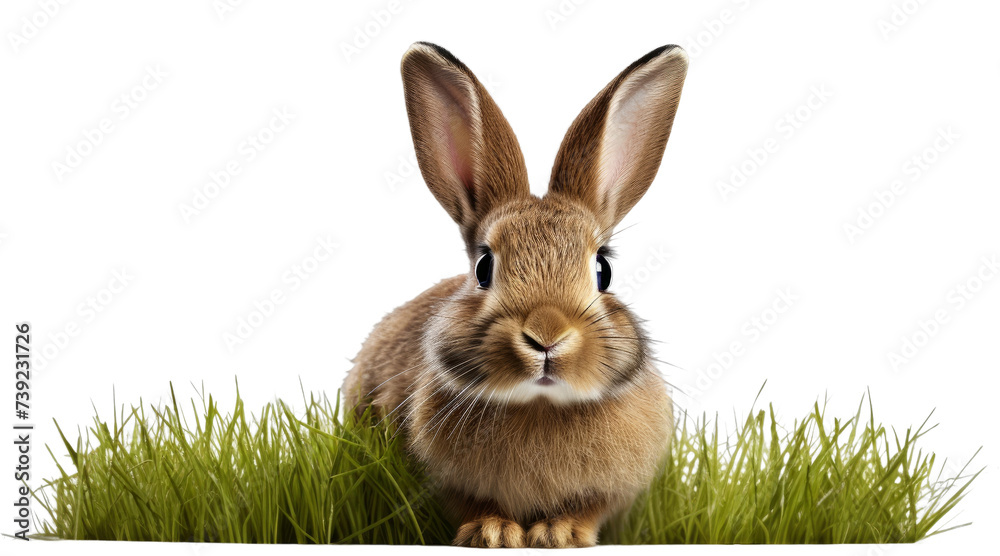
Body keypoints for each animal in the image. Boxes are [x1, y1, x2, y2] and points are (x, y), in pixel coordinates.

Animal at [342, 41, 688, 548]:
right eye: (483, 267)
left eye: (603, 269)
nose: (546, 336)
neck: (539, 405)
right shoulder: (443, 482)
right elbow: (470, 504)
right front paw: (496, 533)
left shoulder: (615, 489)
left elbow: (591, 508)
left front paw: (560, 533)